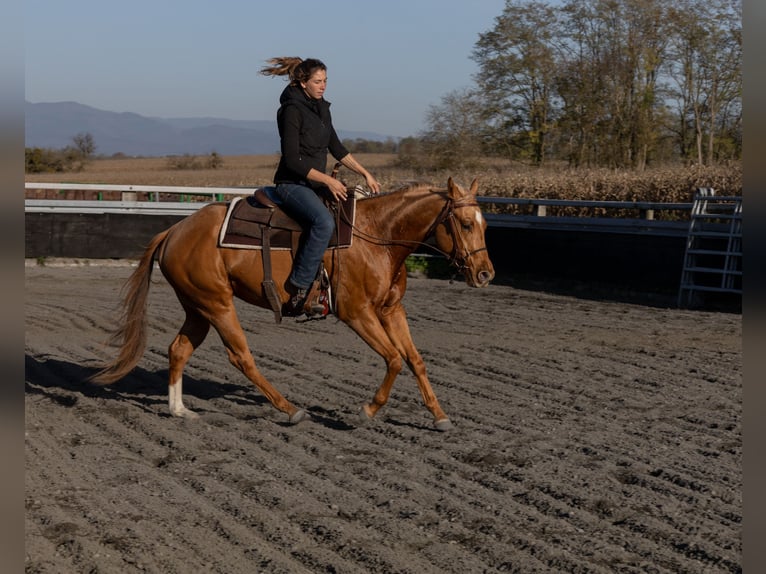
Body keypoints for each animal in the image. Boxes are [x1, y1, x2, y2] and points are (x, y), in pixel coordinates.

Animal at [93, 178, 498, 430]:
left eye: (485, 225)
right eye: (464, 223)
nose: (485, 274)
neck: (378, 237)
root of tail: (173, 231)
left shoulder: (390, 310)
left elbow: (415, 360)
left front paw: (439, 415)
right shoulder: (356, 313)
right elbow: (395, 359)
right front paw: (367, 410)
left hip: (198, 308)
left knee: (178, 349)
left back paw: (179, 410)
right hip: (218, 305)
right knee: (241, 357)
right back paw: (289, 409)